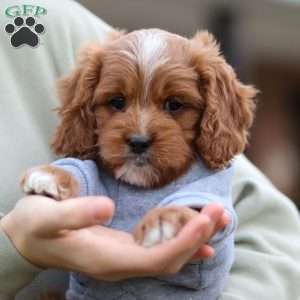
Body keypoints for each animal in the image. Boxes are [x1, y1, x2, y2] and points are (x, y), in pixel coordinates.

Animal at [20, 28, 255, 300]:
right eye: (117, 102)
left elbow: (192, 205)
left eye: (174, 104)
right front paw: (51, 175)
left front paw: (164, 220)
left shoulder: (210, 194)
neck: (145, 184)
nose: (139, 142)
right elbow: (83, 173)